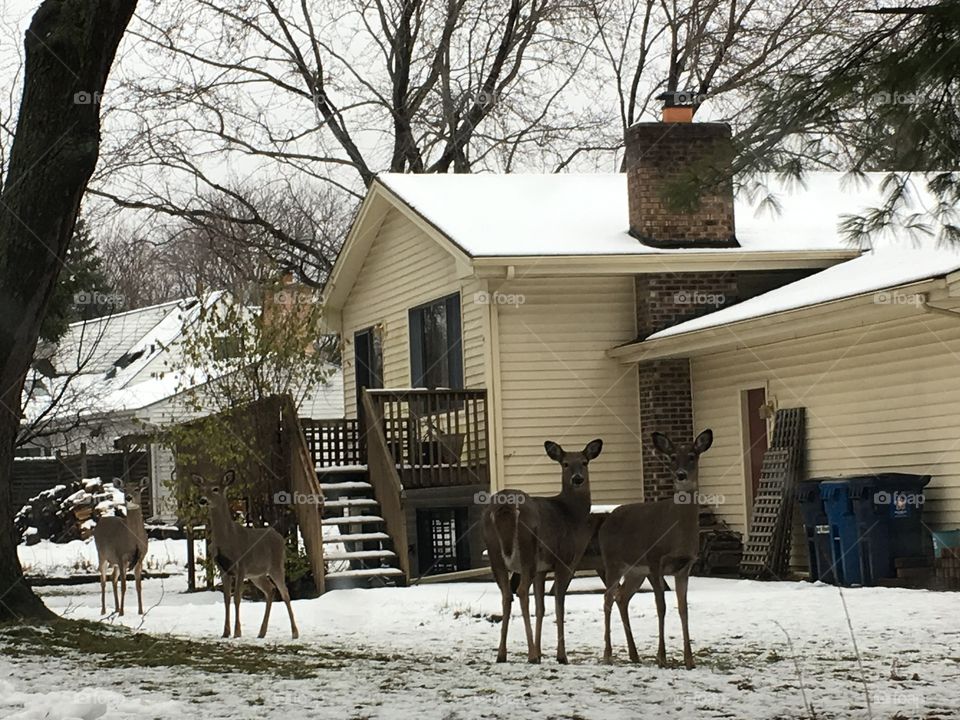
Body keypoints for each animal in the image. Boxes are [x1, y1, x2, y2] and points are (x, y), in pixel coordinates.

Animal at [94, 478, 149, 616]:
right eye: (124, 489)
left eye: (137, 489)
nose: (128, 497)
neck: (134, 540)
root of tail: (100, 521)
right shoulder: (121, 556)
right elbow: (123, 585)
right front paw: (122, 613)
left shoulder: (140, 558)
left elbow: (138, 585)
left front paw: (141, 611)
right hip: (101, 554)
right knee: (103, 580)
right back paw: (104, 610)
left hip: (114, 561)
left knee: (113, 578)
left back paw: (117, 608)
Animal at [191, 471, 299, 639]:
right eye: (202, 488)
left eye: (215, 489)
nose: (202, 500)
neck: (227, 539)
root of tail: (280, 537)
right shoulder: (224, 569)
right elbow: (226, 599)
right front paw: (225, 632)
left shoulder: (241, 565)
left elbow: (237, 598)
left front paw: (237, 632)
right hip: (257, 574)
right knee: (270, 590)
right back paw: (261, 632)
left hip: (276, 565)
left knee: (285, 592)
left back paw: (294, 632)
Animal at [482, 438, 603, 664]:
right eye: (565, 463)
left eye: (584, 462)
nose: (577, 479)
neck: (571, 514)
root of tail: (505, 506)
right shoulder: (564, 561)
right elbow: (558, 605)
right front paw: (561, 655)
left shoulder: (542, 569)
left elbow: (541, 608)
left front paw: (540, 651)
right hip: (527, 549)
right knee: (521, 592)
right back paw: (530, 655)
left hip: (495, 552)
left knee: (506, 595)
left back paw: (502, 654)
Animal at [599, 429, 713, 669]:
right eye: (672, 457)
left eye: (692, 456)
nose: (680, 475)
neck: (677, 534)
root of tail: (606, 520)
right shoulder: (654, 560)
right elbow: (661, 606)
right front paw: (662, 658)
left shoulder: (684, 566)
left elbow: (683, 608)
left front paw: (689, 660)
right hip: (612, 562)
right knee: (608, 598)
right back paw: (608, 654)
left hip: (635, 572)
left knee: (622, 597)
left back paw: (634, 655)